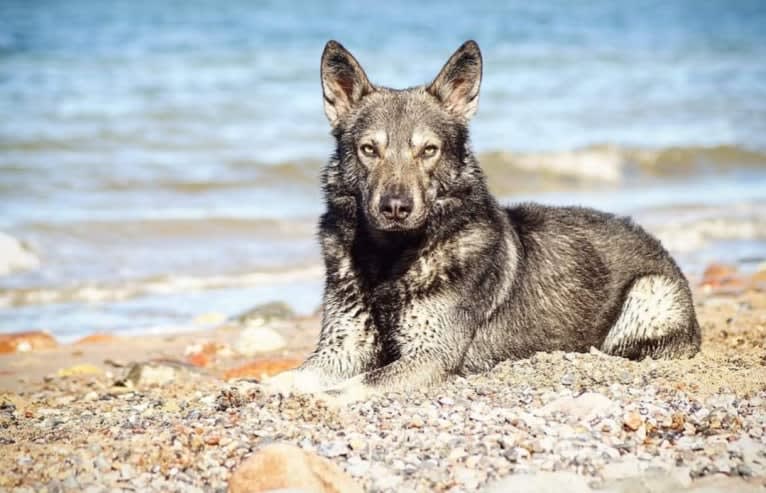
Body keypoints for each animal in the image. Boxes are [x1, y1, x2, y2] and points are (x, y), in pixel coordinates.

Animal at [268, 41, 704, 404]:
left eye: (428, 150)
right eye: (369, 150)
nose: (395, 207)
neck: (389, 260)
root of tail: (656, 244)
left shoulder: (430, 356)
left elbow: (356, 384)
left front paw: (323, 399)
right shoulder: (341, 348)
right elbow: (293, 376)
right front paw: (265, 388)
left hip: (648, 298)